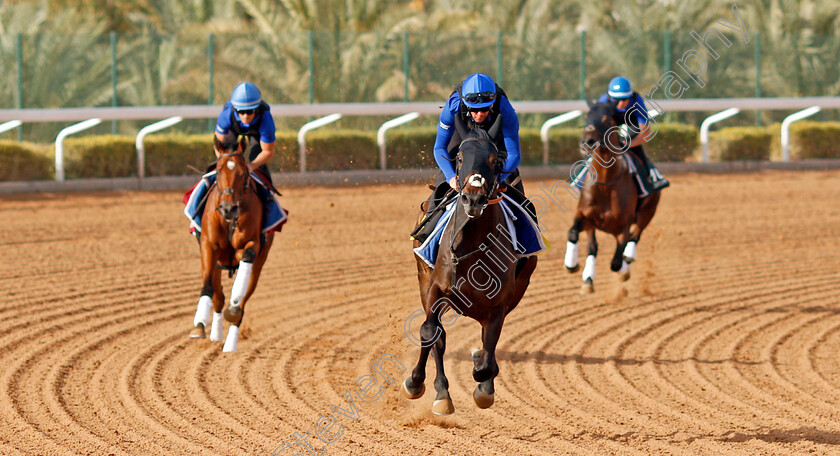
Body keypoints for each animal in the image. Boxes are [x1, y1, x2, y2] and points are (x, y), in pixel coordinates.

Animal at [189, 135, 274, 352]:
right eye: (219, 171)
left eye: (243, 173)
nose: (229, 208)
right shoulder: (208, 246)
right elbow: (209, 287)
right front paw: (199, 324)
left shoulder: (251, 244)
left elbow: (247, 257)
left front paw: (233, 307)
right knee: (218, 297)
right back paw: (216, 333)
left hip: (259, 264)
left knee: (242, 302)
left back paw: (230, 342)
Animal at [402, 126, 540, 416]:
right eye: (460, 157)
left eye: (495, 161)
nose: (473, 198)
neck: (472, 245)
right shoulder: (436, 288)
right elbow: (430, 332)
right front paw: (416, 383)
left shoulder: (499, 304)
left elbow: (488, 357)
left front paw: (483, 383)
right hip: (423, 279)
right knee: (437, 336)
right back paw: (440, 392)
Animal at [568, 100, 660, 294]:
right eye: (587, 116)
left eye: (607, 119)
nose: (586, 141)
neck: (606, 183)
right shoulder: (586, 216)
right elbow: (576, 235)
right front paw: (574, 267)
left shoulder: (624, 225)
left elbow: (616, 263)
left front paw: (624, 270)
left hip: (649, 211)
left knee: (635, 236)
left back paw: (629, 258)